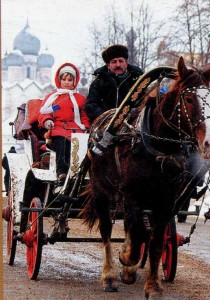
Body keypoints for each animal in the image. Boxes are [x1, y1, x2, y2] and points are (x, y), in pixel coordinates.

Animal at [80, 57, 210, 298]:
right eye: (189, 98)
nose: (207, 144)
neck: (160, 148)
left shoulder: (166, 200)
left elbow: (155, 240)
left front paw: (153, 286)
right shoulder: (132, 193)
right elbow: (138, 233)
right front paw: (125, 257)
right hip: (102, 190)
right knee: (107, 229)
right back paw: (110, 275)